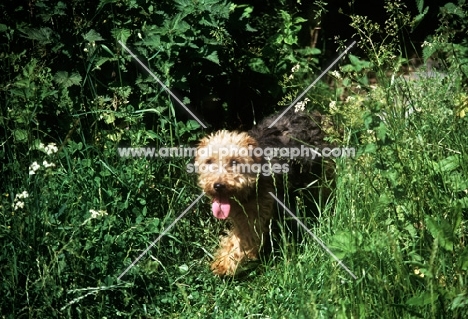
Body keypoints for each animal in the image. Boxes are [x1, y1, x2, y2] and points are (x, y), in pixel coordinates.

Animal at [194, 109, 332, 276]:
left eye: (234, 161)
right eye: (209, 161)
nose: (218, 185)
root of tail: (309, 114)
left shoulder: (253, 217)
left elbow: (241, 242)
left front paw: (225, 264)